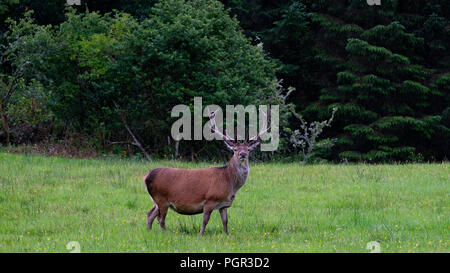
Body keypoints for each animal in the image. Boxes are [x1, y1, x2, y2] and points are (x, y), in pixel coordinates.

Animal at [144, 105, 270, 234]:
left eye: (248, 149)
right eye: (235, 149)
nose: (243, 154)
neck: (229, 182)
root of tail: (147, 177)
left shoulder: (224, 205)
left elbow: (225, 221)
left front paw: (226, 234)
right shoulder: (209, 200)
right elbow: (205, 220)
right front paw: (201, 234)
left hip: (157, 201)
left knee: (150, 214)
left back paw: (149, 231)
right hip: (161, 198)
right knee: (161, 219)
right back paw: (165, 232)